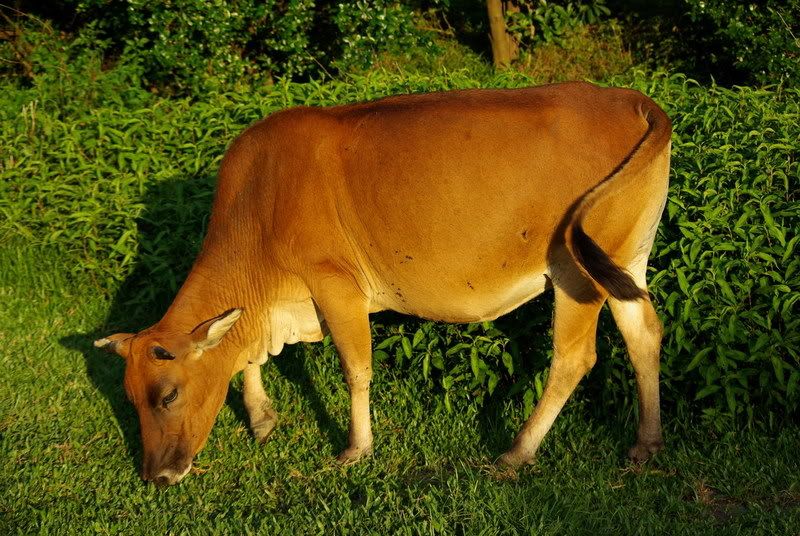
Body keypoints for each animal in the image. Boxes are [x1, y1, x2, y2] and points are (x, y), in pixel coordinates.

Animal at [94, 80, 672, 486]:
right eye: (129, 397)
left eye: (168, 395)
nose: (156, 474)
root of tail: (631, 100)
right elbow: (248, 357)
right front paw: (261, 418)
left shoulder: (335, 285)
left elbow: (356, 370)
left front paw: (356, 449)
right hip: (623, 257)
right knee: (644, 333)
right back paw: (646, 445)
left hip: (575, 269)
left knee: (574, 358)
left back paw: (517, 452)